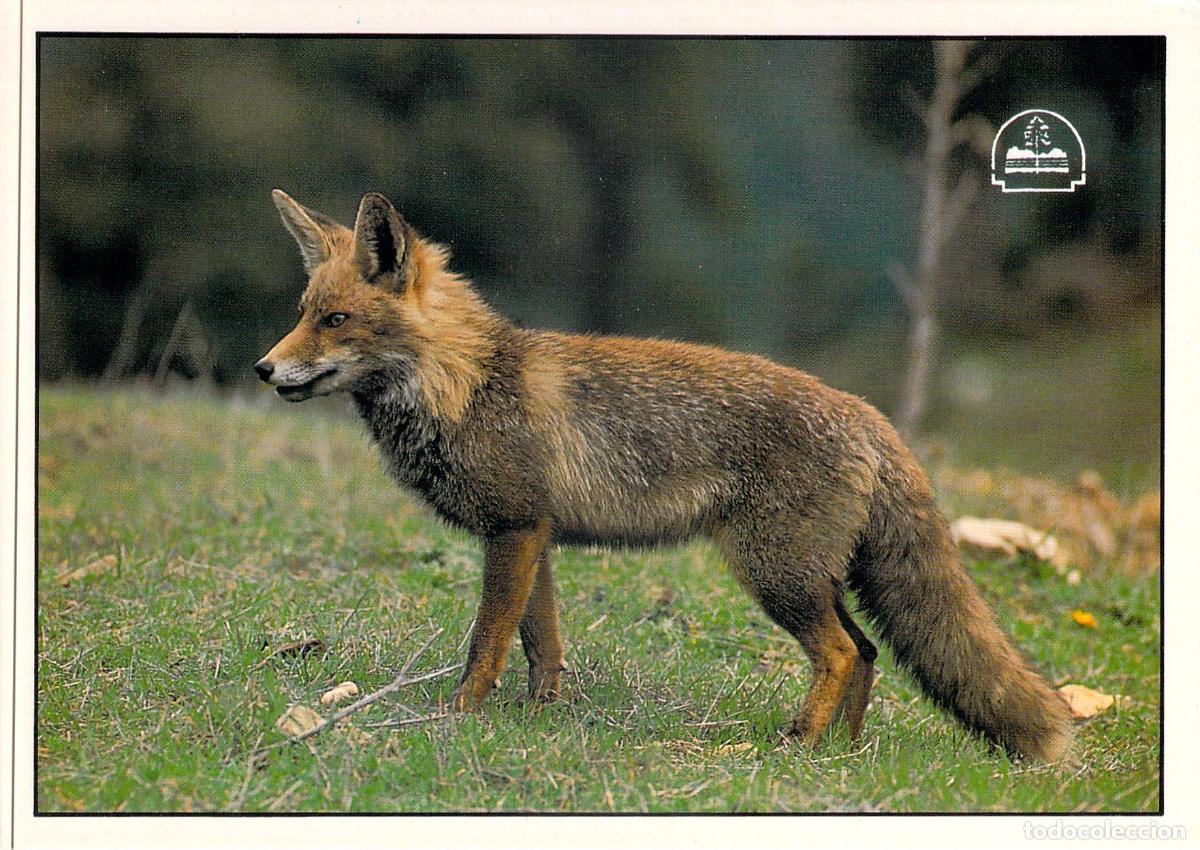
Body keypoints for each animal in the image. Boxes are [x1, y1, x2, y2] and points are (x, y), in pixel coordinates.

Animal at [255, 189, 1073, 762]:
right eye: (301, 311)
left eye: (335, 321)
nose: (264, 369)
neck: (466, 384)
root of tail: (871, 415)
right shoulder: (532, 535)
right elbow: (542, 646)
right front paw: (539, 719)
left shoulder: (514, 529)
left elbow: (486, 644)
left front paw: (455, 719)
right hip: (809, 577)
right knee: (868, 652)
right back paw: (841, 753)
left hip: (773, 574)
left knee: (843, 654)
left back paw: (796, 745)